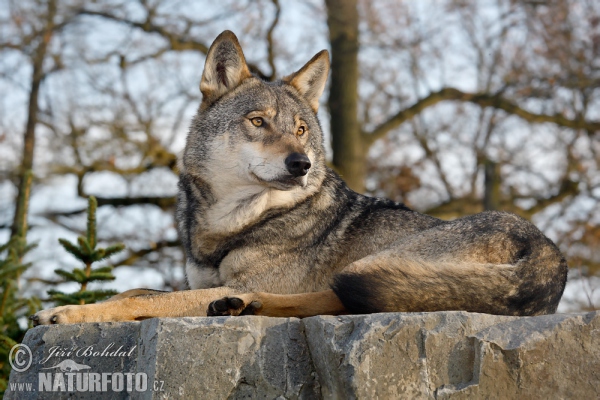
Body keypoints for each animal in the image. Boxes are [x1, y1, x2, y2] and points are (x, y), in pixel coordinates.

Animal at [31, 31, 568, 324]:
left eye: (302, 130)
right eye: (257, 122)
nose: (301, 164)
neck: (232, 224)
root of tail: (552, 255)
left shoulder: (210, 285)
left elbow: (140, 301)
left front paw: (69, 313)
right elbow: (134, 291)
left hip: (379, 264)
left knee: (339, 297)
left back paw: (241, 304)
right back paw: (241, 306)